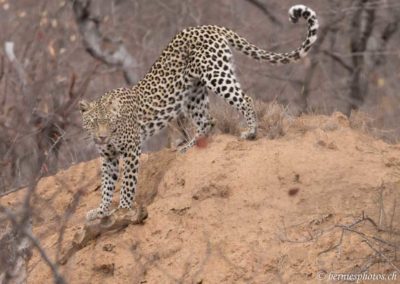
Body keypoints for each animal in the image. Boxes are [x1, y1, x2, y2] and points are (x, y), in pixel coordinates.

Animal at [80, 5, 318, 222]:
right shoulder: (108, 156)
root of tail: (208, 26)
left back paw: (250, 131)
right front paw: (100, 211)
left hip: (215, 74)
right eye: (94, 123)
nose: (102, 136)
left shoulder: (131, 148)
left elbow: (128, 182)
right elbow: (107, 184)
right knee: (208, 120)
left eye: (109, 122)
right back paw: (188, 146)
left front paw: (123, 208)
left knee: (245, 99)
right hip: (193, 92)